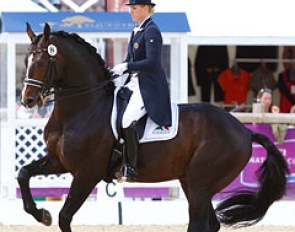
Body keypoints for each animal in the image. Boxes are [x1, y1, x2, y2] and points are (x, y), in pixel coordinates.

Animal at [18, 23, 290, 232]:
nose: (27, 100)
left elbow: (65, 217)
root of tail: (244, 130)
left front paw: (47, 215)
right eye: (26, 59)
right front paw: (41, 214)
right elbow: (23, 173)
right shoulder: (59, 161)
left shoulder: (86, 173)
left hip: (201, 184)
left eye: (42, 60)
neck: (81, 109)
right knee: (210, 224)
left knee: (198, 224)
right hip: (190, 182)